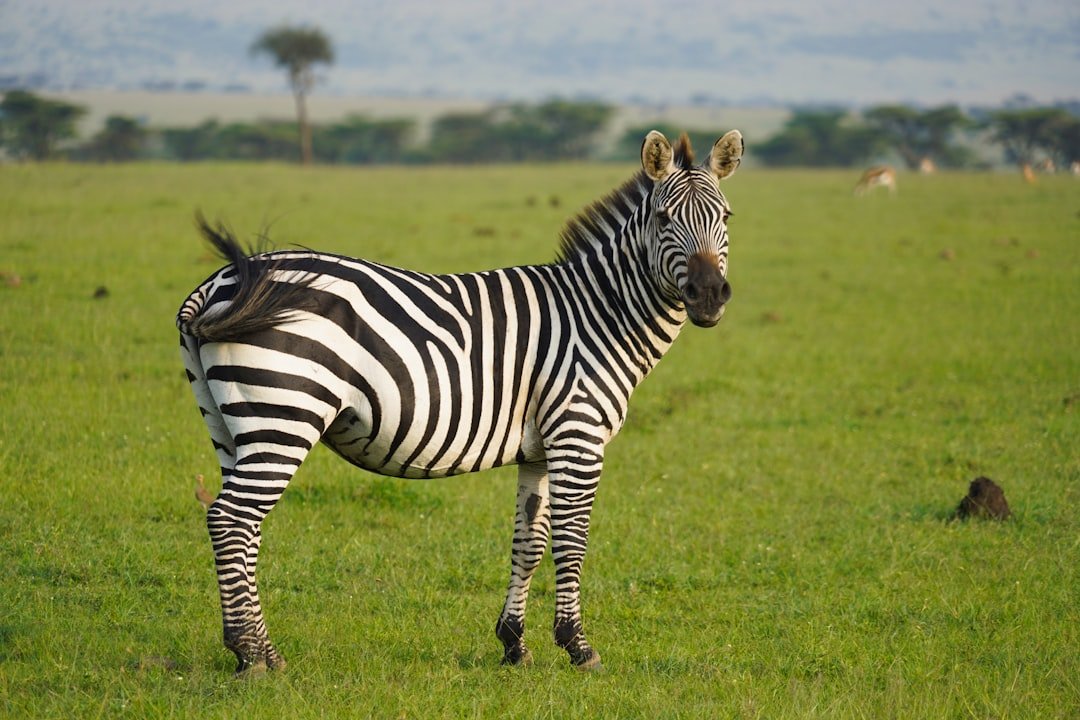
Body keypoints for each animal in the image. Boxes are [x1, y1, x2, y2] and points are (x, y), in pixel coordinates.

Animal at [177, 129, 744, 674]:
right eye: (664, 218)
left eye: (726, 217)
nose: (709, 295)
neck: (598, 314)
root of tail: (223, 280)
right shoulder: (577, 436)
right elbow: (571, 541)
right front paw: (578, 647)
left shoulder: (539, 450)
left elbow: (529, 542)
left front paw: (514, 645)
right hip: (283, 414)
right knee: (231, 521)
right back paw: (251, 655)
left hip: (231, 427)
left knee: (240, 526)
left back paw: (258, 652)